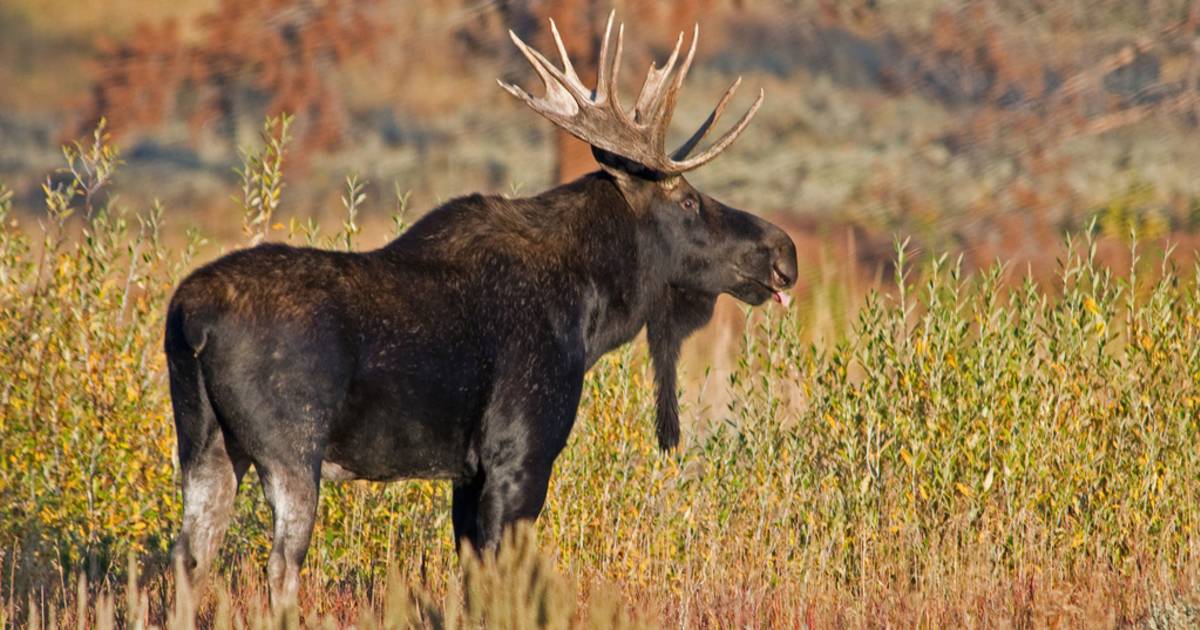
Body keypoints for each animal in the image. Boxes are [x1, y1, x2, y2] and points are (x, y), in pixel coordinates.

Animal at [162, 14, 796, 602]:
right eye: (687, 201)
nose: (783, 251)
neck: (592, 314)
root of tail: (190, 320)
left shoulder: (466, 474)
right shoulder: (520, 454)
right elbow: (500, 579)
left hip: (205, 442)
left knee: (189, 557)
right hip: (291, 449)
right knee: (280, 566)